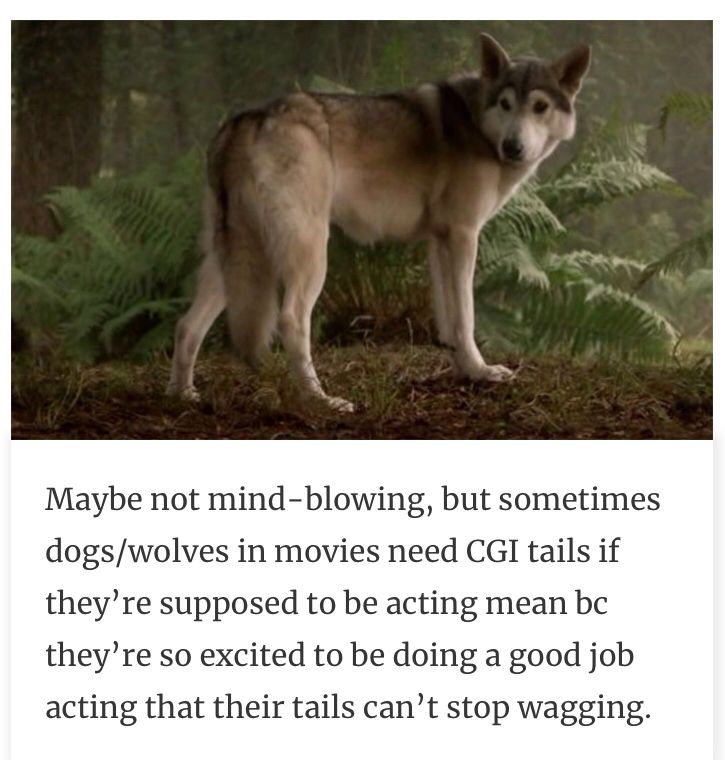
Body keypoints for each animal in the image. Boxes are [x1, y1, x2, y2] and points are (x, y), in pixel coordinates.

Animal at [167, 32, 591, 412]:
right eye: (505, 104)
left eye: (539, 107)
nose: (513, 147)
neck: (475, 124)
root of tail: (248, 118)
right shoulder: (463, 236)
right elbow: (466, 316)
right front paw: (482, 371)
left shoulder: (440, 242)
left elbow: (449, 318)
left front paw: (463, 370)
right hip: (308, 257)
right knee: (291, 322)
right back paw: (321, 400)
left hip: (237, 263)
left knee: (186, 326)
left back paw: (183, 396)